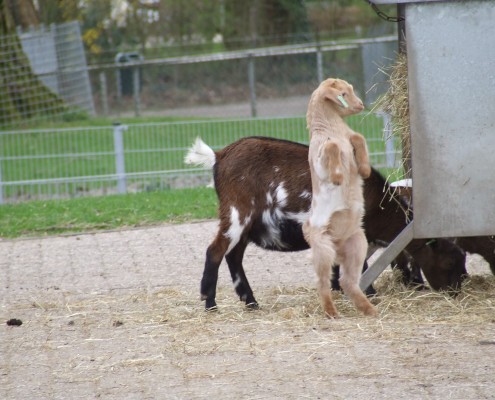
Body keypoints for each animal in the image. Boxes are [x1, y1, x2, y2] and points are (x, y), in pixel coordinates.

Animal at [184, 138, 466, 312]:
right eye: (450, 261)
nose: (458, 289)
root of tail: (220, 156)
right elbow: (358, 265)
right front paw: (367, 292)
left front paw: (338, 289)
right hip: (237, 213)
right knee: (215, 251)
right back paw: (210, 303)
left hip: (246, 223)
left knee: (234, 256)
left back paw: (250, 302)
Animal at [302, 78, 380, 318]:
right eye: (344, 94)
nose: (362, 104)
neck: (331, 129)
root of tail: (337, 246)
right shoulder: (319, 159)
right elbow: (333, 145)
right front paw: (337, 177)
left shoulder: (350, 136)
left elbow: (358, 137)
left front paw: (364, 170)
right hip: (322, 248)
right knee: (323, 283)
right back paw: (331, 312)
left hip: (357, 245)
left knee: (348, 282)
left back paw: (370, 309)